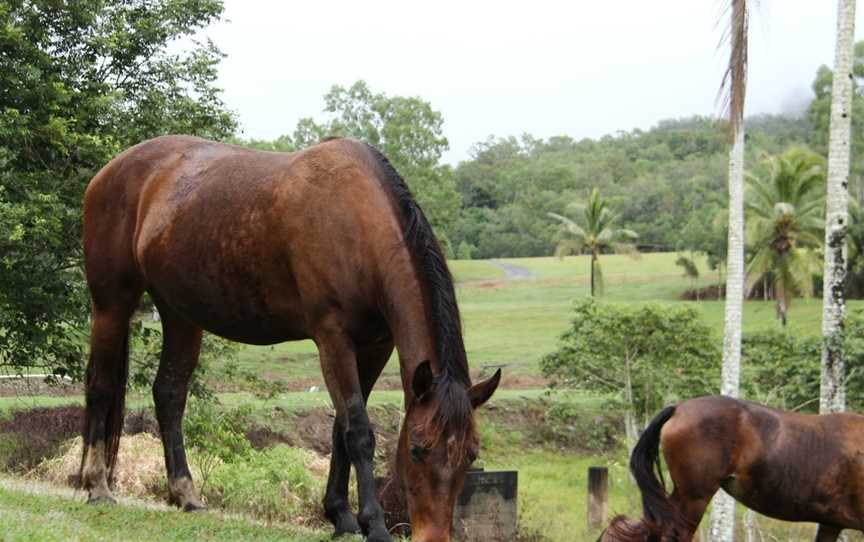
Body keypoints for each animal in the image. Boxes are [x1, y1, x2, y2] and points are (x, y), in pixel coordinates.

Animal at [81, 133, 502, 542]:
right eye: (416, 449)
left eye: (470, 455)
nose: (434, 536)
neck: (357, 223)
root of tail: (109, 171)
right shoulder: (333, 338)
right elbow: (358, 430)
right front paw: (374, 524)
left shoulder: (375, 347)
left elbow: (340, 429)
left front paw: (341, 516)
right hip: (111, 305)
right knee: (101, 385)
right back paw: (97, 485)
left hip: (180, 314)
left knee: (169, 394)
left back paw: (186, 494)